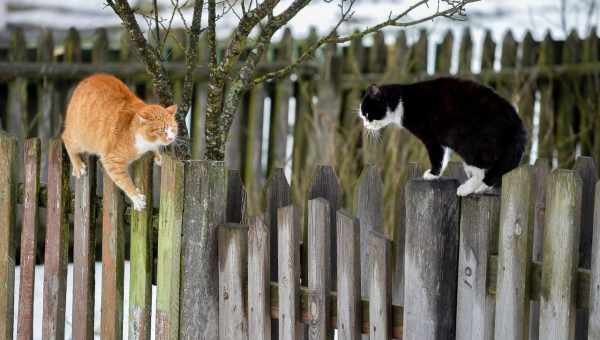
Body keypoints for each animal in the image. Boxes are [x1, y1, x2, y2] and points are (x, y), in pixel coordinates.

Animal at [61, 73, 177, 210]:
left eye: (173, 128)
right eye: (161, 130)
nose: (171, 138)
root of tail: (84, 81)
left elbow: (155, 148)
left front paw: (159, 156)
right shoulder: (111, 160)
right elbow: (124, 181)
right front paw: (136, 198)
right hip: (80, 139)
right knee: (66, 138)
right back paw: (78, 166)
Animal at [360, 75, 524, 195]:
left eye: (368, 115)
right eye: (362, 117)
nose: (365, 125)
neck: (401, 102)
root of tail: (518, 127)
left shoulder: (432, 138)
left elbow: (437, 157)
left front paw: (432, 174)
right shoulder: (442, 141)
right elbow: (444, 157)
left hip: (471, 144)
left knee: (486, 169)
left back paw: (467, 188)